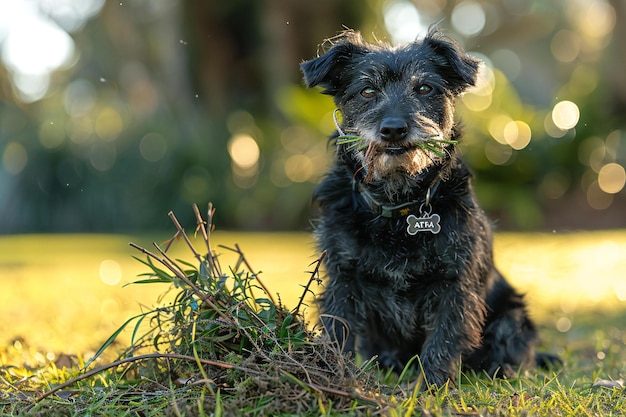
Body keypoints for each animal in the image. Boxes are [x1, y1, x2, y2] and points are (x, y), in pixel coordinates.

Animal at [300, 30, 544, 386]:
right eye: (367, 90)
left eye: (424, 88)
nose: (393, 129)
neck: (397, 204)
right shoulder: (343, 277)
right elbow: (338, 329)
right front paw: (335, 374)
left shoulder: (455, 281)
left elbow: (443, 339)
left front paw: (432, 387)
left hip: (510, 314)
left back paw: (503, 369)